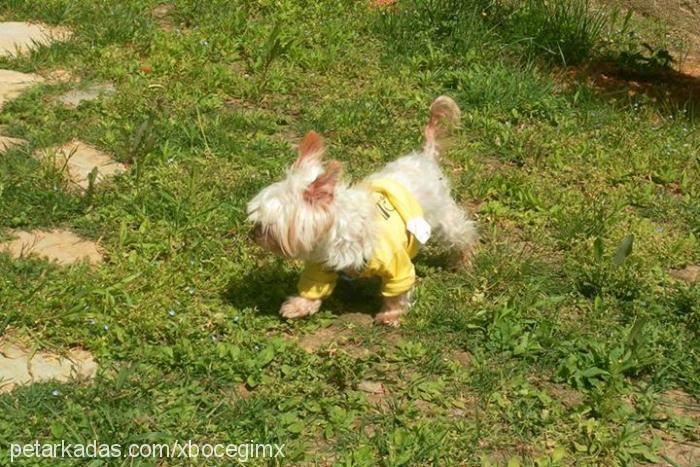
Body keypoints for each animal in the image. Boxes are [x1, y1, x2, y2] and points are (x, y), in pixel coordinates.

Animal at [246, 96, 476, 326]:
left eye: (269, 224)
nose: (252, 234)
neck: (339, 231)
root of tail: (425, 157)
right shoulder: (321, 264)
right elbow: (312, 287)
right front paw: (298, 306)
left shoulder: (397, 264)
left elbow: (397, 293)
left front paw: (390, 315)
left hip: (444, 217)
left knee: (463, 234)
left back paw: (465, 262)